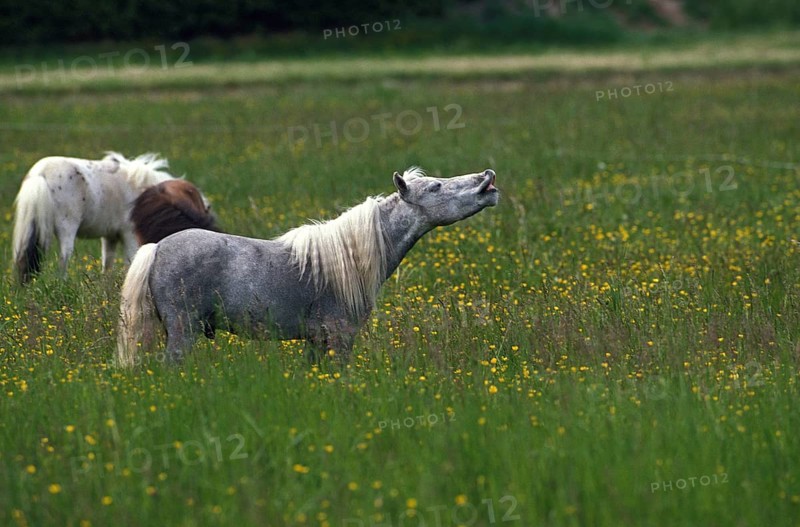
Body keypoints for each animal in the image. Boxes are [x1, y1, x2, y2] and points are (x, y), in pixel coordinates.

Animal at [11, 152, 178, 283]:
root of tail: (41, 172)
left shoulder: (110, 236)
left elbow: (108, 264)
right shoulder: (129, 234)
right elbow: (130, 260)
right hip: (67, 228)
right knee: (64, 258)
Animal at [116, 167, 499, 367]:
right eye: (436, 186)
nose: (488, 179)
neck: (349, 261)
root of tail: (156, 248)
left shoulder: (316, 342)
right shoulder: (340, 338)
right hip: (183, 330)